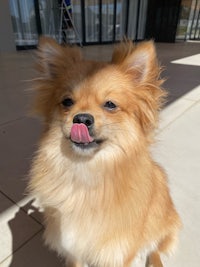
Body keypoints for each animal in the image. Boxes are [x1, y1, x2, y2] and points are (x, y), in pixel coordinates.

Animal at [29, 37, 181, 267]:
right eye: (67, 102)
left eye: (110, 105)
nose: (81, 118)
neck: (87, 172)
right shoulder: (73, 248)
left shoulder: (118, 252)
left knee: (155, 246)